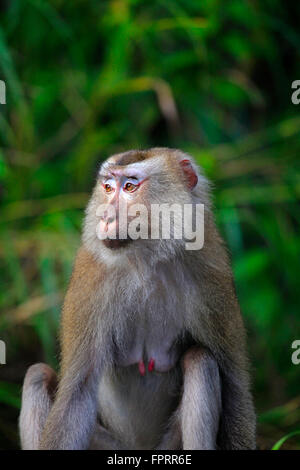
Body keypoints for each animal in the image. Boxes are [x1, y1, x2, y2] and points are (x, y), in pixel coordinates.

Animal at [19, 149, 256, 450]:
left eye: (130, 187)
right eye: (108, 187)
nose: (106, 217)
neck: (146, 258)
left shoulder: (210, 273)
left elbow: (235, 386)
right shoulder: (90, 278)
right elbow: (76, 396)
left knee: (201, 361)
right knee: (38, 375)